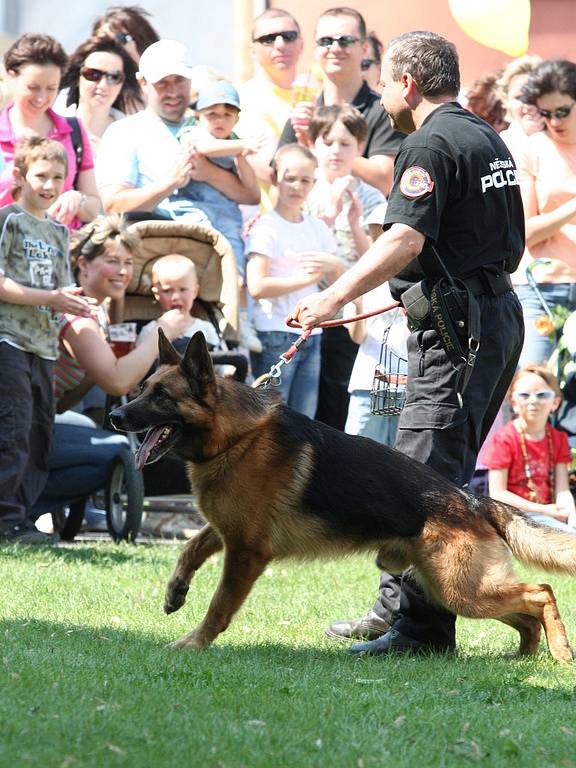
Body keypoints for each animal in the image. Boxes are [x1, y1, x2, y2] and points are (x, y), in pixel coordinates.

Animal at [110, 330, 576, 660]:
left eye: (161, 395)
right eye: (144, 388)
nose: (114, 415)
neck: (235, 437)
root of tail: (472, 499)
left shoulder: (246, 552)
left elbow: (219, 605)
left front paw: (194, 643)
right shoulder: (228, 531)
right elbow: (190, 547)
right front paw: (175, 591)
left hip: (462, 588)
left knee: (541, 592)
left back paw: (560, 652)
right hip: (450, 588)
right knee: (525, 613)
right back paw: (526, 654)